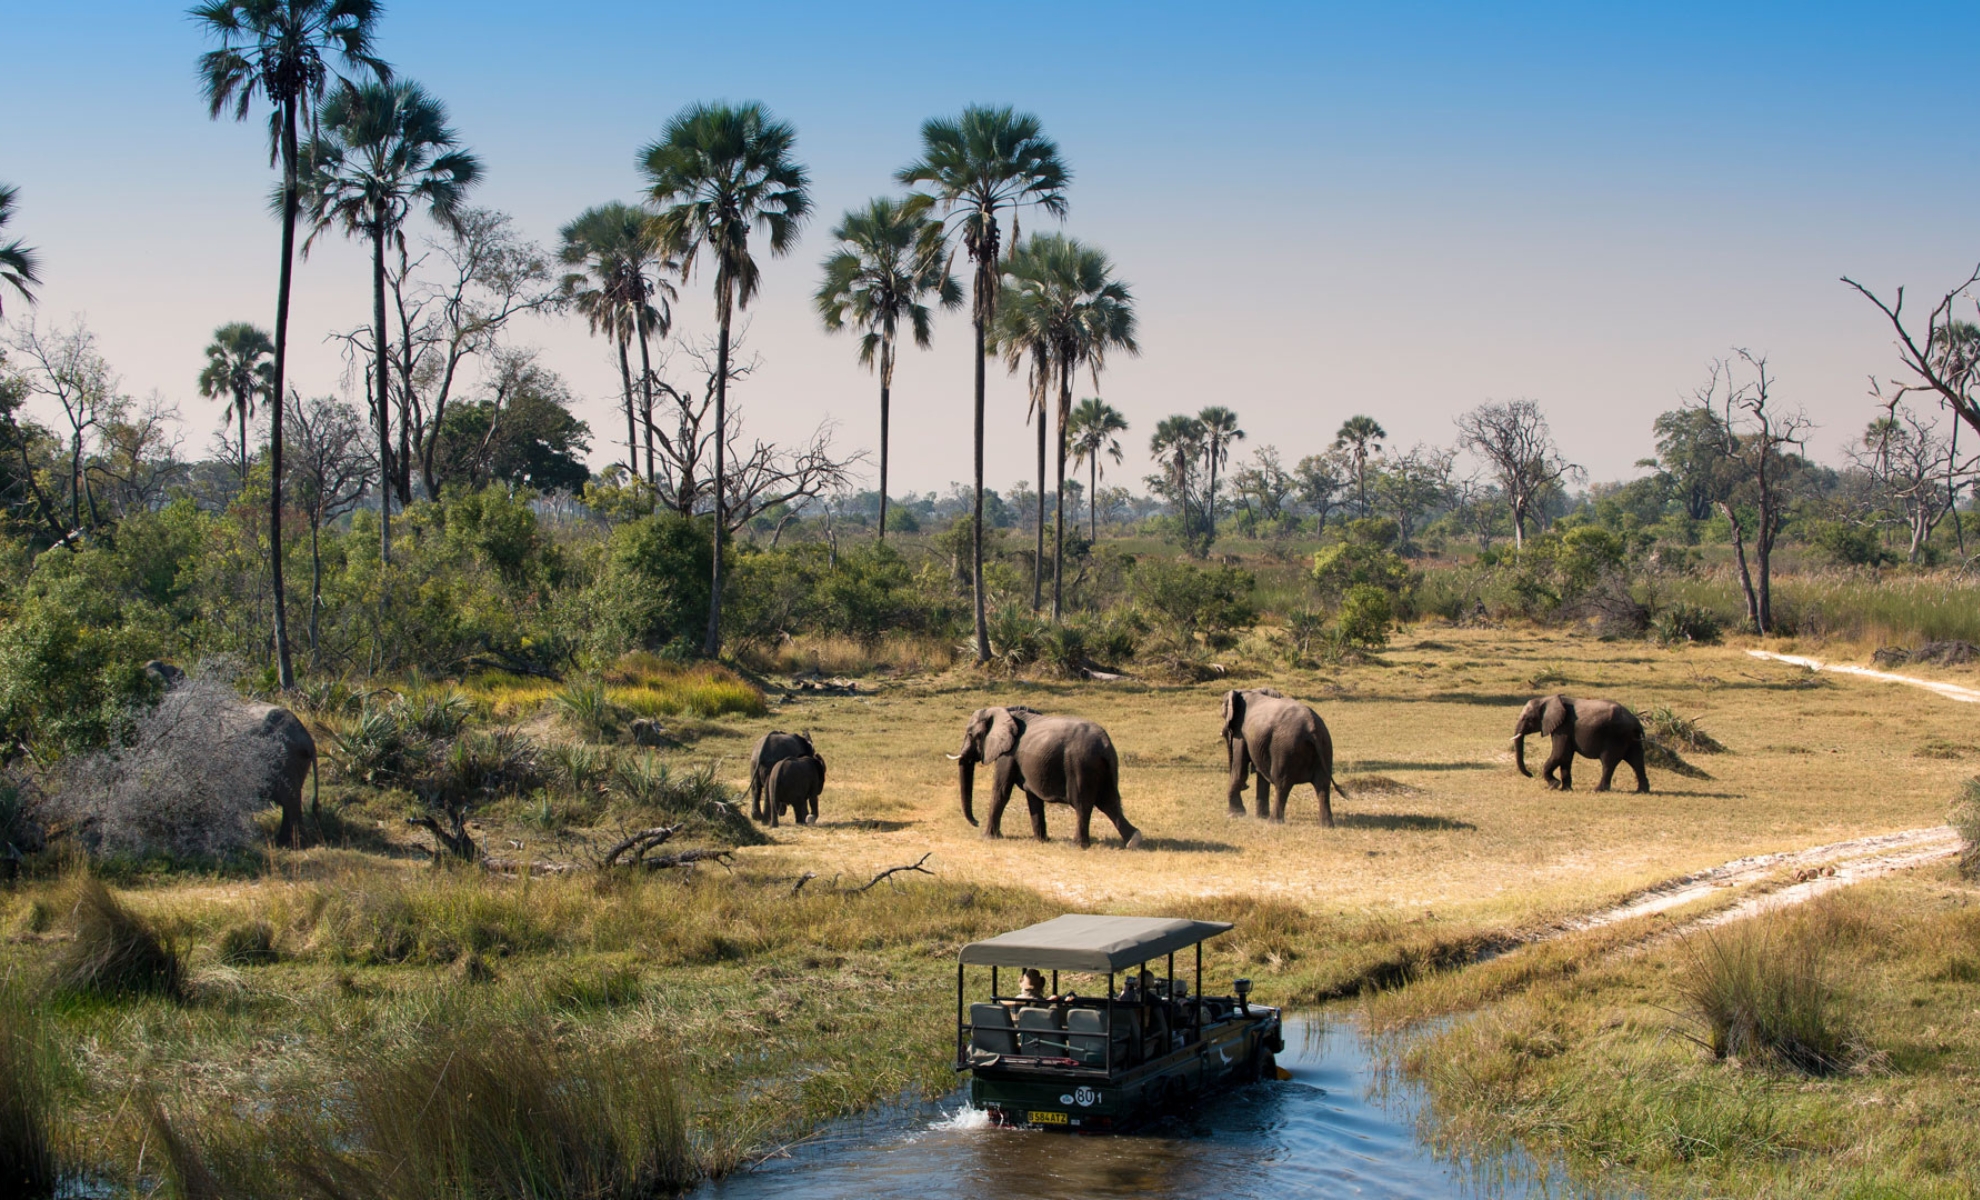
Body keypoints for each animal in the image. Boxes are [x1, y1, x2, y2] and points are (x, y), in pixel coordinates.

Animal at [946, 708, 1148, 851]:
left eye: (970, 734)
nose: (976, 822)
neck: (1003, 711)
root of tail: (1105, 743)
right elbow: (1033, 798)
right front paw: (1040, 841)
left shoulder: (1008, 754)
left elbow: (1001, 791)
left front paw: (987, 838)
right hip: (1106, 767)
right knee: (1109, 803)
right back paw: (1134, 841)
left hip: (1080, 765)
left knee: (1083, 804)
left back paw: (1076, 846)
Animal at [1211, 685, 1354, 827]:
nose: (1246, 787)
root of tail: (1312, 727)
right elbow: (1261, 775)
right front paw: (1259, 817)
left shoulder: (1241, 733)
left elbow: (1240, 769)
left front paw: (1234, 815)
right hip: (1325, 746)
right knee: (1322, 784)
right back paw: (1326, 825)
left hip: (1286, 748)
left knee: (1282, 783)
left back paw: (1273, 822)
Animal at [1512, 700, 1655, 796]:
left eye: (1527, 718)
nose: (1530, 774)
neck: (1548, 699)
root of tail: (1637, 723)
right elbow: (1566, 757)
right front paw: (1565, 789)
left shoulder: (1563, 728)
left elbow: (1560, 754)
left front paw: (1553, 786)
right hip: (1631, 739)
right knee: (1637, 762)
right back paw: (1642, 791)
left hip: (1615, 737)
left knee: (1608, 763)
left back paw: (1596, 790)